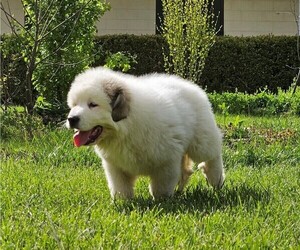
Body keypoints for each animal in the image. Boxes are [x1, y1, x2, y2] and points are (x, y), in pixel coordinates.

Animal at [67, 66, 224, 199]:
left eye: (93, 105)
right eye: (74, 105)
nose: (71, 119)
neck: (125, 129)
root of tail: (190, 85)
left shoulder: (166, 160)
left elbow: (161, 186)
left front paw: (162, 201)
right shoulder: (115, 165)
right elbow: (120, 186)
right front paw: (122, 201)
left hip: (201, 141)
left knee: (213, 154)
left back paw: (216, 180)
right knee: (186, 170)